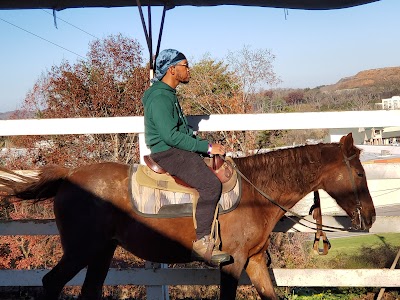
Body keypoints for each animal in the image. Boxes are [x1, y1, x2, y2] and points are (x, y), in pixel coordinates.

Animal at [0, 134, 376, 300]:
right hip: (80, 250)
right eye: (359, 173)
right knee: (51, 282)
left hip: (101, 252)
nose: (370, 217)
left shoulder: (255, 261)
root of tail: (68, 176)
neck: (257, 193)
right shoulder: (234, 262)